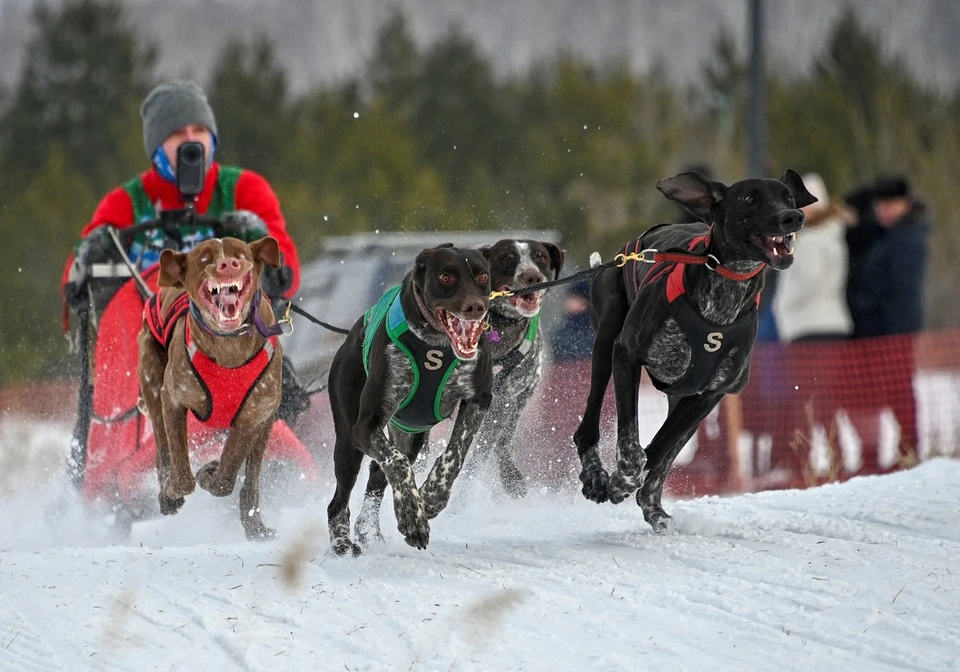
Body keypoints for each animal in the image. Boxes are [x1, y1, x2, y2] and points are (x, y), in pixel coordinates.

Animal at [138, 236, 284, 540]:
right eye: (204, 258)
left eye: (241, 253)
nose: (229, 263)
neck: (229, 348)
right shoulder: (173, 400)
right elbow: (182, 475)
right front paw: (174, 490)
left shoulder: (253, 416)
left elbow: (227, 475)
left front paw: (211, 473)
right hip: (151, 382)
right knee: (162, 451)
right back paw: (166, 493)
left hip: (267, 425)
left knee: (251, 479)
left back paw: (255, 526)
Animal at [328, 244, 496, 552]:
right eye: (444, 277)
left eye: (482, 276)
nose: (475, 307)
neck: (436, 344)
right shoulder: (364, 427)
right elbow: (398, 464)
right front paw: (412, 516)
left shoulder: (479, 399)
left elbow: (455, 454)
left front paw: (430, 496)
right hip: (348, 443)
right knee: (339, 501)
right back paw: (342, 542)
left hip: (411, 436)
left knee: (377, 474)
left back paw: (369, 531)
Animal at [572, 169, 812, 532]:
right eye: (750, 198)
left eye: (788, 197)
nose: (793, 217)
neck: (724, 292)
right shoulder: (626, 355)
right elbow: (633, 447)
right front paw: (619, 480)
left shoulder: (710, 394)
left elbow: (658, 449)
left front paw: (628, 485)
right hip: (605, 344)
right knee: (587, 425)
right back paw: (596, 477)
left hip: (685, 405)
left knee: (665, 454)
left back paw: (653, 508)